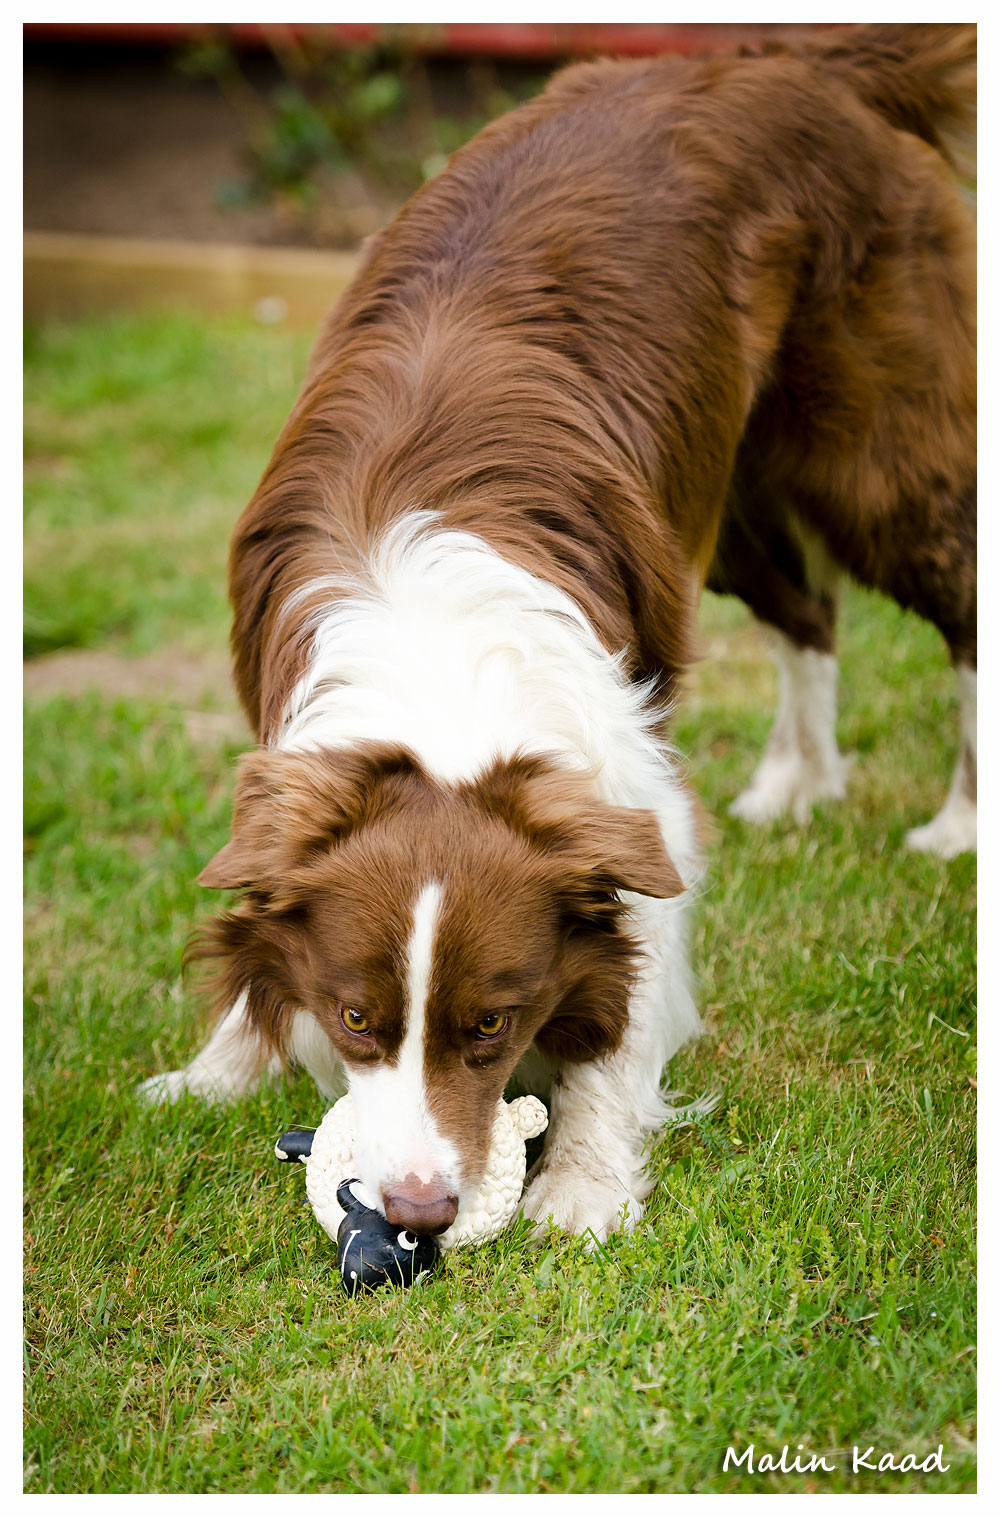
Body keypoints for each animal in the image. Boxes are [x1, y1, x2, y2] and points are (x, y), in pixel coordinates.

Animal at [142, 25, 976, 1243]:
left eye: (494, 1022)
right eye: (354, 1018)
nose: (419, 1210)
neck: (437, 685)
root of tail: (775, 53)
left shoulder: (632, 802)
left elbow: (628, 1002)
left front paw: (583, 1176)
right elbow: (255, 923)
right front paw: (216, 1068)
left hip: (873, 451)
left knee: (955, 601)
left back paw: (960, 820)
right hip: (717, 502)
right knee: (806, 612)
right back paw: (797, 782)